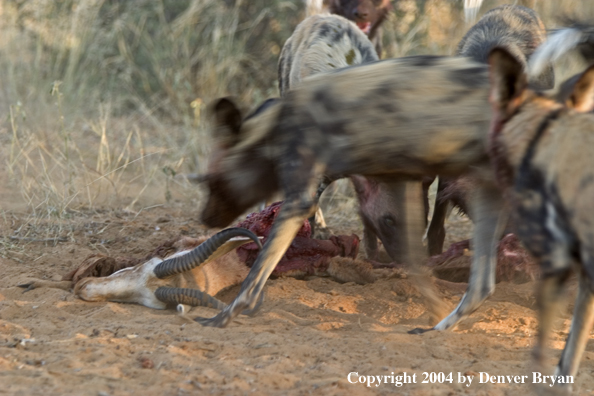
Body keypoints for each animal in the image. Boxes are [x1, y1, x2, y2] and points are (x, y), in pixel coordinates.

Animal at [195, 55, 508, 328]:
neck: (276, 128)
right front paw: (436, 311)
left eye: (211, 181)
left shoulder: (300, 201)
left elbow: (256, 273)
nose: (205, 219)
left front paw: (223, 316)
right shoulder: (400, 193)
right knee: (483, 281)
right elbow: (416, 266)